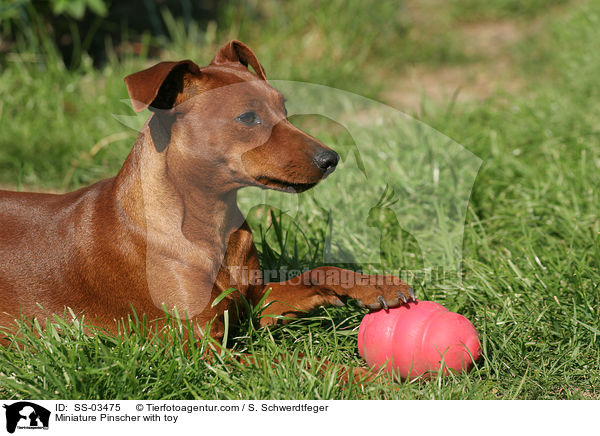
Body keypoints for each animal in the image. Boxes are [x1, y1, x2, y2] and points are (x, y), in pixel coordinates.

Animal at [0, 41, 412, 348]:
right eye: (247, 118)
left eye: (284, 109)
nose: (331, 158)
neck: (211, 222)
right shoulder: (205, 348)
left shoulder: (256, 303)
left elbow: (316, 272)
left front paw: (374, 284)